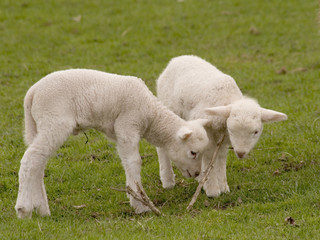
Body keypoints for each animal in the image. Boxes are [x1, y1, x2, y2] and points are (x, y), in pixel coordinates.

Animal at [15, 68, 210, 218]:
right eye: (193, 152)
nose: (196, 173)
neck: (151, 116)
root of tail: (31, 94)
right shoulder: (127, 126)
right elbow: (134, 162)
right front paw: (141, 206)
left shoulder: (119, 134)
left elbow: (126, 162)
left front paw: (134, 198)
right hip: (55, 122)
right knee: (31, 159)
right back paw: (23, 209)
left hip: (38, 126)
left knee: (38, 163)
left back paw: (42, 210)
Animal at [157, 55, 288, 197]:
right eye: (231, 130)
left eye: (256, 132)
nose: (240, 153)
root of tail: (177, 59)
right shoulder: (207, 130)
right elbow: (209, 155)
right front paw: (212, 190)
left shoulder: (223, 138)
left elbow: (220, 158)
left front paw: (223, 187)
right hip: (168, 106)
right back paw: (168, 181)